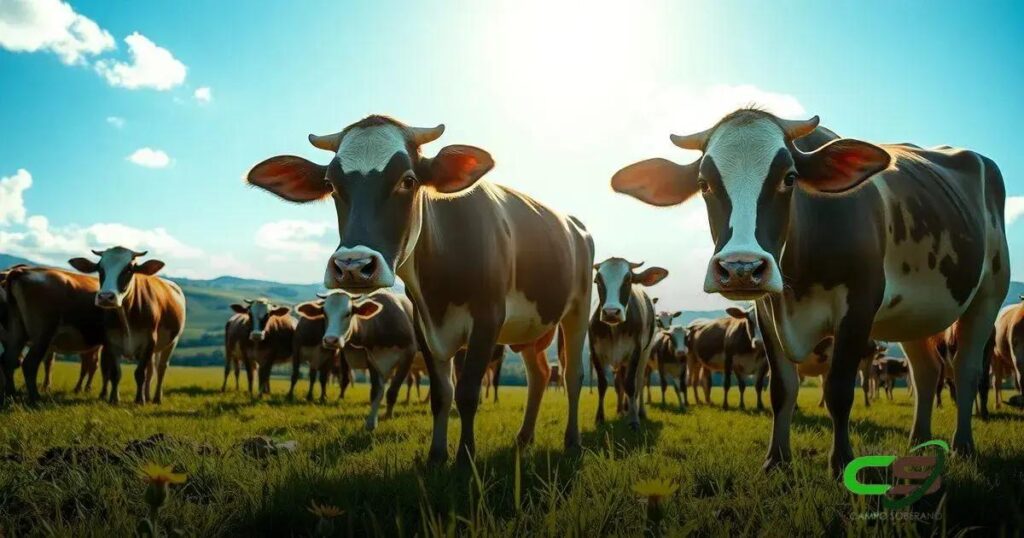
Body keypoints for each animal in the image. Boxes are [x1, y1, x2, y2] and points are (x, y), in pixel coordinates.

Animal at [1, 265, 110, 404]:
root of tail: (23, 271)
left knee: (9, 360)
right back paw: (36, 398)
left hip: (17, 332)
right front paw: (104, 394)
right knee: (29, 363)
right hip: (43, 334)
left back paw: (11, 394)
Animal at [68, 248, 186, 404]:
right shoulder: (112, 342)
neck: (126, 316)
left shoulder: (149, 341)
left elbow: (140, 373)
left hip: (172, 341)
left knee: (161, 368)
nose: (106, 297)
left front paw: (139, 400)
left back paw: (156, 398)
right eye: (99, 268)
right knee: (151, 370)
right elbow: (115, 373)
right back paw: (148, 395)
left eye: (129, 269)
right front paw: (114, 399)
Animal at [295, 290, 418, 430]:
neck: (380, 325)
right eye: (324, 313)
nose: (330, 340)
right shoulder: (371, 359)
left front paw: (388, 416)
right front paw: (371, 422)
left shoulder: (408, 355)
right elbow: (376, 391)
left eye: (348, 313)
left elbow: (392, 391)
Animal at [588, 258, 667, 427]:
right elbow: (603, 384)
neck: (615, 329)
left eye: (628, 280)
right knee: (620, 384)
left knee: (639, 382)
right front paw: (600, 418)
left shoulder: (635, 352)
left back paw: (639, 411)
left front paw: (634, 420)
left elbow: (631, 385)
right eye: (597, 280)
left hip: (645, 354)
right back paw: (622, 409)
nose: (611, 312)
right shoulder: (595, 352)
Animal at [612, 108, 1008, 475]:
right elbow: (782, 389)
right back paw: (919, 443)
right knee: (926, 372)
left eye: (790, 178)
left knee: (966, 370)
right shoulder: (766, 313)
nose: (741, 268)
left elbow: (839, 390)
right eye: (704, 183)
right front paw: (776, 460)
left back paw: (962, 446)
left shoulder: (859, 307)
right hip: (914, 316)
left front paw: (841, 462)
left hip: (990, 293)